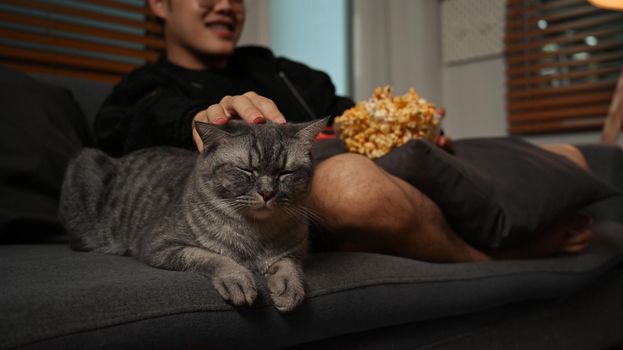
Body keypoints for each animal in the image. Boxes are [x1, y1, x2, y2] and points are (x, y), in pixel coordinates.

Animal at [61, 118, 330, 312]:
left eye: (286, 173)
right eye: (246, 170)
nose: (267, 193)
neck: (257, 234)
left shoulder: (294, 252)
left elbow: (288, 265)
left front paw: (289, 287)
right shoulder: (160, 245)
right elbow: (212, 257)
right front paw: (237, 279)